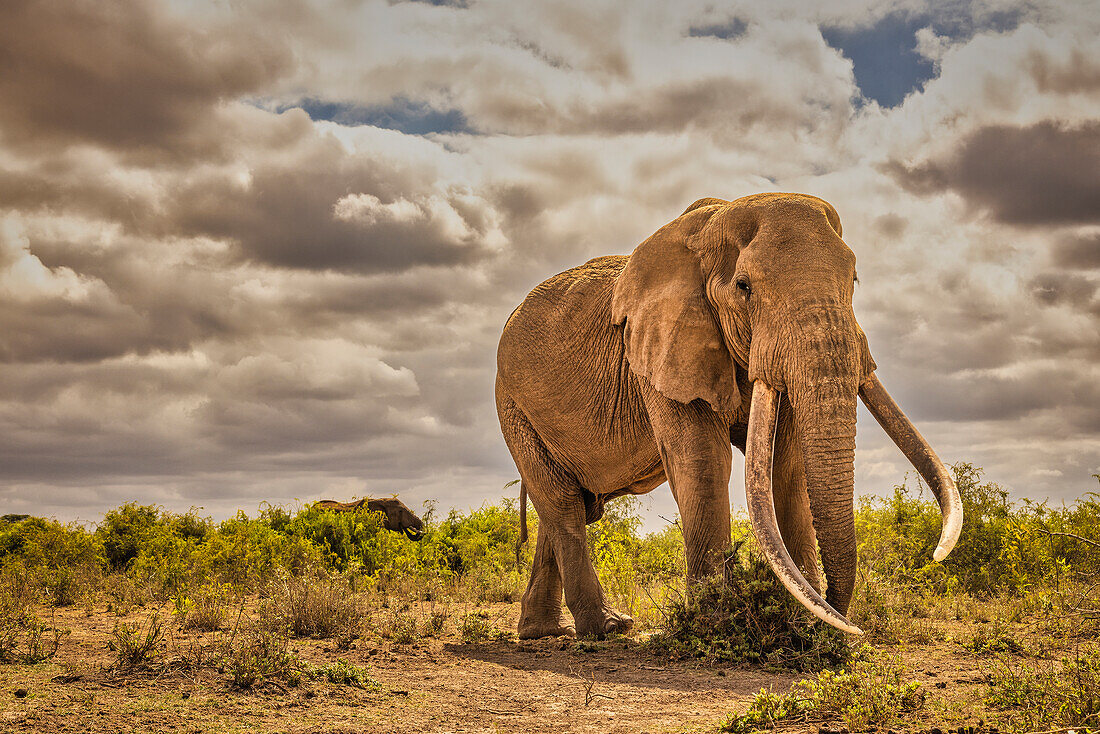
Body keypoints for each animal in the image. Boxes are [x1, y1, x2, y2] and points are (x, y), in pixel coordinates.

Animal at [499, 192, 963, 638]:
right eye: (744, 287)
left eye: (853, 280)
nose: (843, 620)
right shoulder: (660, 350)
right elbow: (703, 460)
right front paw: (714, 620)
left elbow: (785, 466)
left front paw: (803, 622)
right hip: (513, 405)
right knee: (563, 504)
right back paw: (608, 627)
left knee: (573, 504)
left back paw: (544, 631)